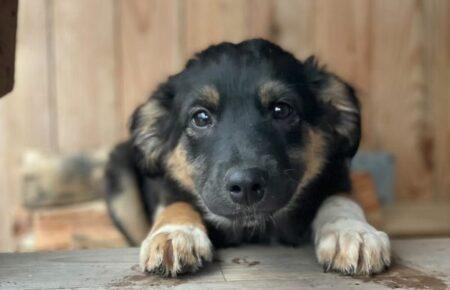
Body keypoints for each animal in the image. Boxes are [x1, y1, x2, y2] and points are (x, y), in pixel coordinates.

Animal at [106, 38, 390, 276]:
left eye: (281, 109)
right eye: (201, 117)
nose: (246, 186)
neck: (254, 229)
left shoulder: (335, 176)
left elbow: (340, 200)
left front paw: (352, 232)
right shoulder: (167, 186)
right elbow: (177, 203)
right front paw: (175, 234)